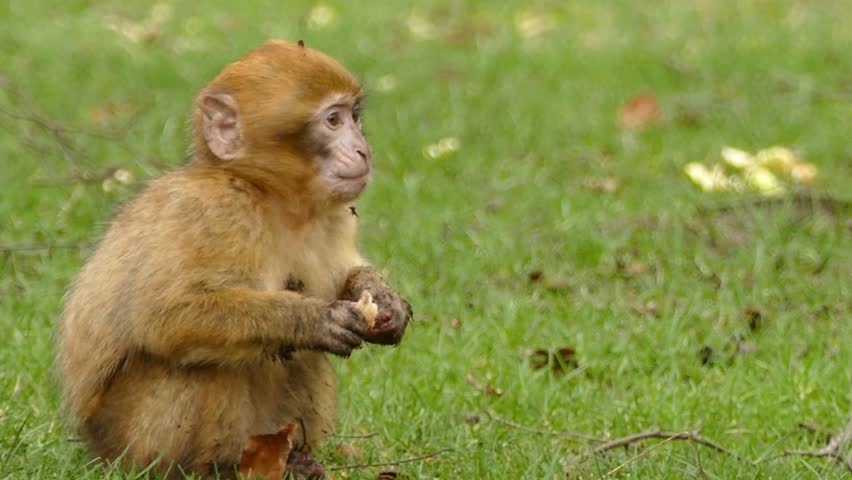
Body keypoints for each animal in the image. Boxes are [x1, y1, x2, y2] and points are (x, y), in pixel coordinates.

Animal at [57, 39, 412, 478]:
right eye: (332, 120)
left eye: (355, 117)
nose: (364, 149)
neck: (269, 195)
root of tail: (95, 447)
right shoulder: (217, 212)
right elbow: (166, 315)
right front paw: (311, 319)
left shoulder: (336, 216)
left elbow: (347, 273)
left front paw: (383, 299)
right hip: (127, 441)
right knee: (200, 365)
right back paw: (212, 468)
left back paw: (291, 458)